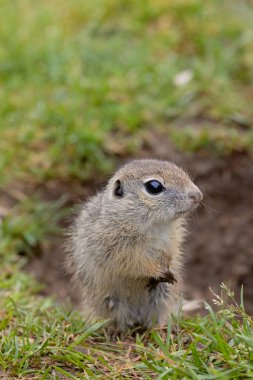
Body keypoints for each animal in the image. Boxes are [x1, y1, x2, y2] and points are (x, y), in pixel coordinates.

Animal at [66, 159, 203, 334]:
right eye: (154, 186)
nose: (198, 196)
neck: (155, 226)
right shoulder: (117, 248)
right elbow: (134, 264)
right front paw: (156, 270)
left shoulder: (173, 240)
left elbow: (171, 253)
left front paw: (167, 264)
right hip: (109, 300)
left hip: (161, 295)